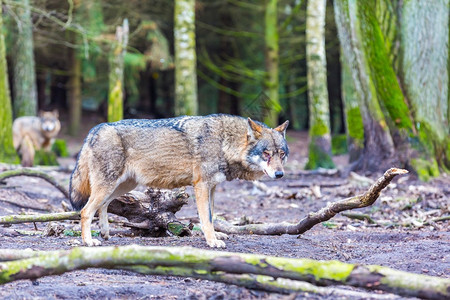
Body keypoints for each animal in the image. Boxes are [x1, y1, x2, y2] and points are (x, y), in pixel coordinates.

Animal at [69, 113, 288, 247]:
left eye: (282, 154)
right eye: (266, 154)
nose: (280, 175)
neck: (224, 142)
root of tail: (95, 129)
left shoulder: (213, 187)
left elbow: (212, 216)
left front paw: (215, 235)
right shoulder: (201, 186)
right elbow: (206, 218)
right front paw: (212, 241)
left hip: (121, 186)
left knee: (103, 206)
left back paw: (105, 233)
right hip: (109, 186)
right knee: (85, 211)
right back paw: (88, 241)